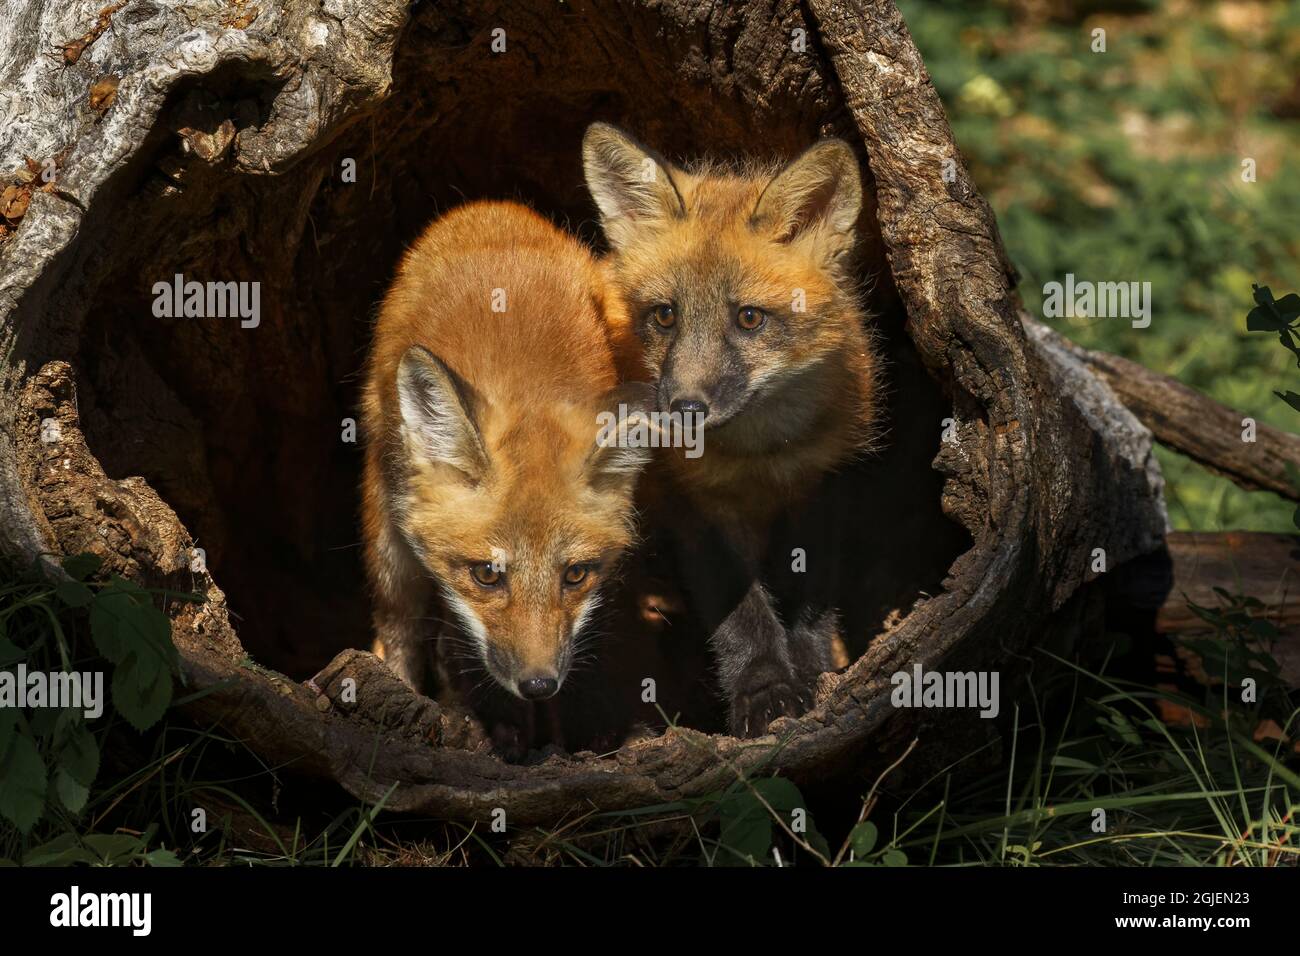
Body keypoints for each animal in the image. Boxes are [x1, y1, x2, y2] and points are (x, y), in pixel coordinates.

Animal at [360, 200, 653, 706]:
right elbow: (399, 618)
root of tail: (494, 207)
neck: (525, 383)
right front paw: (400, 685)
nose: (538, 685)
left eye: (576, 574)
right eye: (486, 575)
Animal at [582, 123, 881, 737]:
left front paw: (813, 672)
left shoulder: (820, 484)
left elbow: (807, 595)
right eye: (665, 315)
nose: (683, 408)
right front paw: (764, 691)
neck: (758, 457)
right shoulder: (691, 505)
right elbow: (740, 613)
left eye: (749, 319)